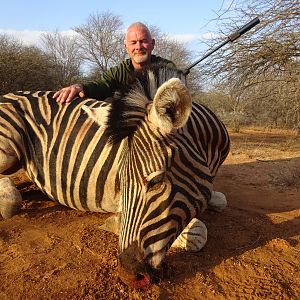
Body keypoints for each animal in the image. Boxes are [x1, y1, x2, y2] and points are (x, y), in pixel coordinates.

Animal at [0, 67, 230, 288]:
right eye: (121, 181)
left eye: (156, 182)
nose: (129, 276)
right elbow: (198, 233)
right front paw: (116, 222)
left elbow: (220, 201)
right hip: (8, 144)